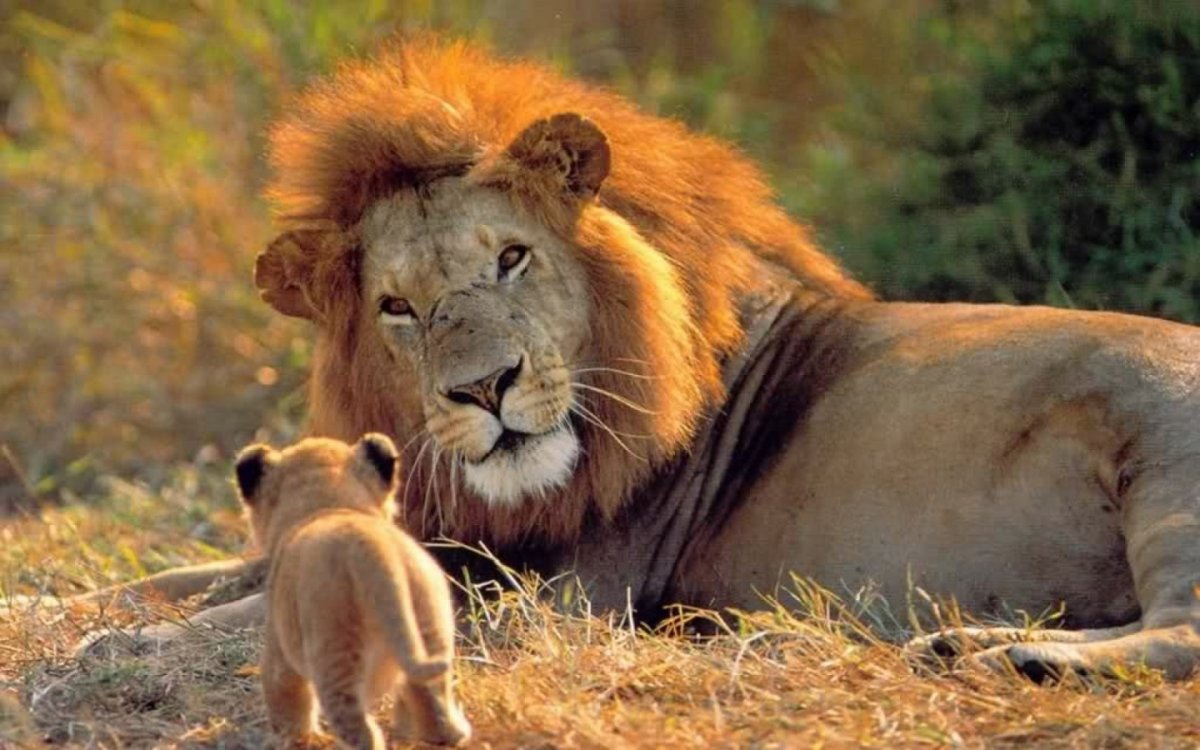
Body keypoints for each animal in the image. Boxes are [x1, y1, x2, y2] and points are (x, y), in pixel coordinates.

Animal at [84, 37, 1199, 683]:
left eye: (511, 257)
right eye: (397, 307)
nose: (484, 388)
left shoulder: (553, 594)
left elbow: (267, 602)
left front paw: (128, 647)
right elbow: (196, 573)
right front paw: (78, 608)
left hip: (1166, 465)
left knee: (1183, 632)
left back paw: (1006, 656)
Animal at [235, 434, 471, 748]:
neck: (328, 507)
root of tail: (373, 552)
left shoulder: (279, 643)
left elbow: (283, 691)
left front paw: (293, 738)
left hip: (333, 652)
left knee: (358, 727)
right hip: (429, 629)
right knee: (432, 703)